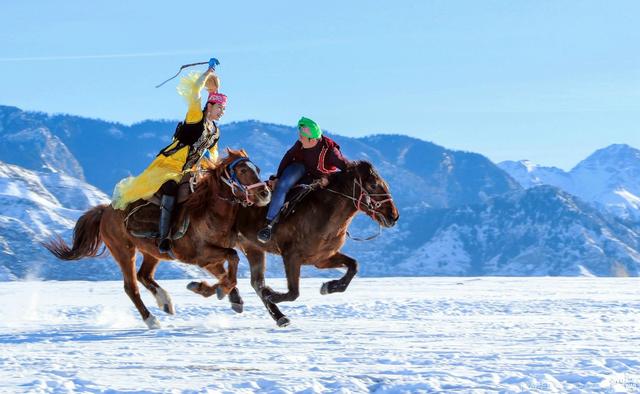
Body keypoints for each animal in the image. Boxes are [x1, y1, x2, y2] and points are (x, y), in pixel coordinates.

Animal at [44, 149, 270, 328]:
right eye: (242, 171)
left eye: (257, 169)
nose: (265, 193)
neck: (208, 211)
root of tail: (105, 210)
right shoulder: (201, 255)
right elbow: (232, 259)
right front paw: (207, 289)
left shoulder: (210, 259)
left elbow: (228, 271)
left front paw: (230, 296)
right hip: (124, 250)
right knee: (131, 286)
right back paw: (152, 320)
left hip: (152, 252)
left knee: (144, 275)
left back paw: (166, 302)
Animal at [236, 160, 396, 326]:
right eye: (373, 185)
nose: (393, 216)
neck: (324, 214)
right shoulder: (291, 256)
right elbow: (293, 293)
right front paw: (272, 295)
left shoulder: (322, 259)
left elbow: (354, 266)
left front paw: (328, 287)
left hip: (252, 248)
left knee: (257, 283)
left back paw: (279, 316)